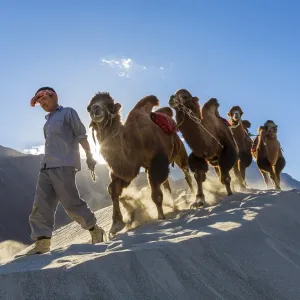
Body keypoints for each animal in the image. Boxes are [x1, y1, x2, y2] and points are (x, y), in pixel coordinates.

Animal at [87, 92, 190, 236]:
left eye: (110, 105)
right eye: (89, 108)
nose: (95, 109)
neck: (134, 140)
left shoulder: (156, 160)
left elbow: (155, 193)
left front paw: (161, 217)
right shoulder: (129, 168)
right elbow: (113, 189)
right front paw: (116, 225)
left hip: (180, 150)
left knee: (186, 172)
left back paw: (197, 198)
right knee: (167, 184)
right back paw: (174, 205)